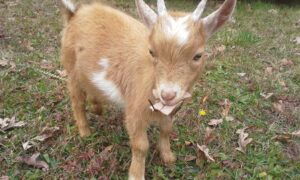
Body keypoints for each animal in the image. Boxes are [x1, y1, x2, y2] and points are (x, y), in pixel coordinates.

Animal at [59, 0, 236, 179]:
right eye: (152, 52)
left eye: (198, 55)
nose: (167, 95)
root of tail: (75, 14)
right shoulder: (134, 111)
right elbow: (141, 145)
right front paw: (136, 174)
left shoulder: (170, 111)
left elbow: (166, 130)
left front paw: (168, 157)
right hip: (71, 68)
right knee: (77, 102)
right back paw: (85, 132)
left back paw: (97, 108)